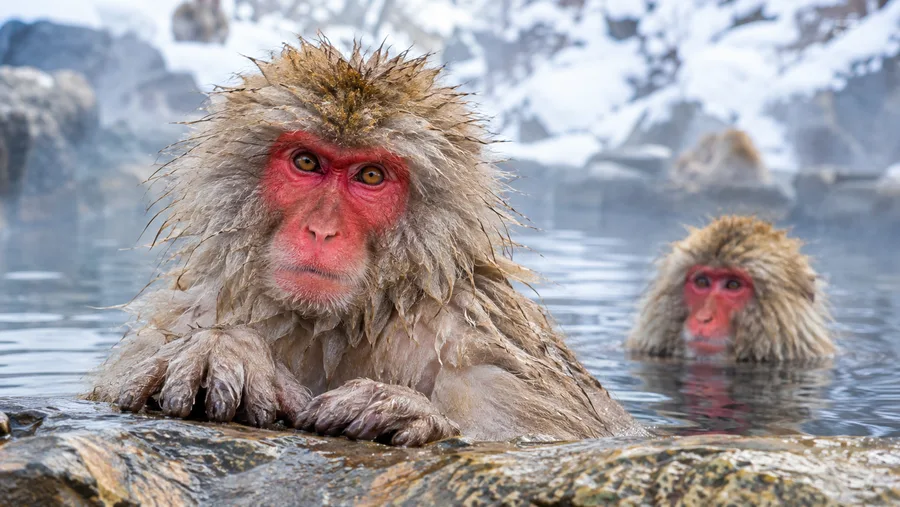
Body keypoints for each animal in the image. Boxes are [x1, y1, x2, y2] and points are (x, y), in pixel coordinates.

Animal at [85, 38, 647, 447]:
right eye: (307, 162)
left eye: (370, 175)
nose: (321, 230)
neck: (340, 322)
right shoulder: (191, 310)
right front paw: (224, 347)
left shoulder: (474, 331)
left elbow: (562, 432)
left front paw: (405, 410)